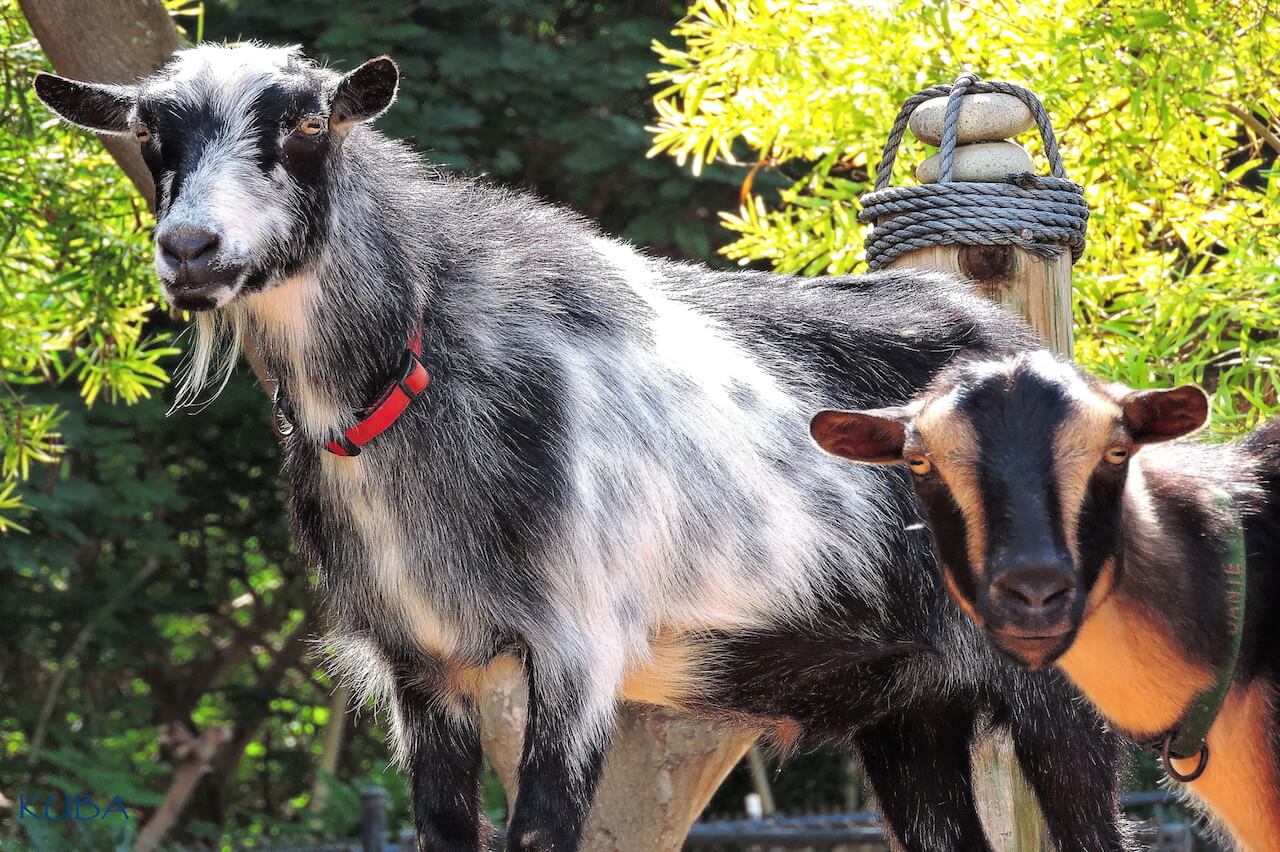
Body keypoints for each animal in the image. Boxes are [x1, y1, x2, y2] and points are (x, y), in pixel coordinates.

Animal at [32, 46, 1131, 849]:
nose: (191, 251)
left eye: (307, 123)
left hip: (1057, 680)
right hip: (908, 707)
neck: (421, 359)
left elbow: (537, 835)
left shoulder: (576, 644)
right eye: (150, 132)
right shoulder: (422, 667)